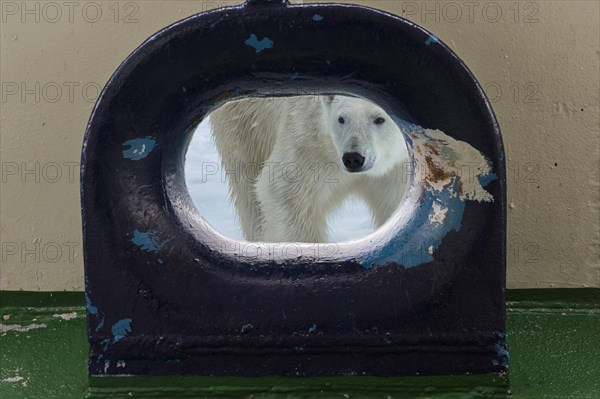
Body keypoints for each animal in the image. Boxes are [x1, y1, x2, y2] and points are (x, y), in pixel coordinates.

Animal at [209, 95, 410, 242]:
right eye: (341, 119)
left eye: (379, 119)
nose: (353, 158)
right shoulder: (307, 141)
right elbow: (285, 194)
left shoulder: (399, 168)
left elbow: (392, 201)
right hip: (245, 124)